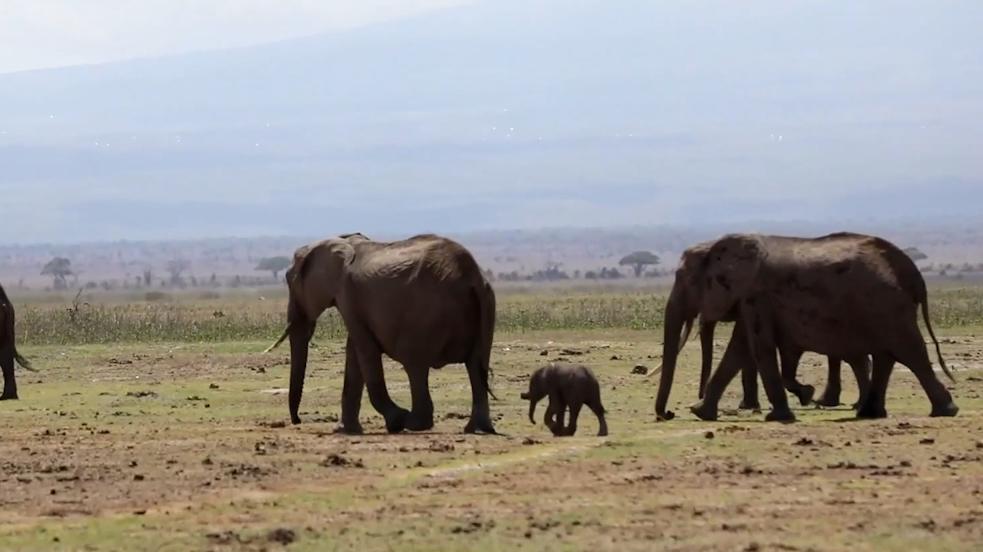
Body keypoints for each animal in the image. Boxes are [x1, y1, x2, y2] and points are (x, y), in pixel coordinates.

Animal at [268, 233, 500, 436]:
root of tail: (472, 277)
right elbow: (354, 353)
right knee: (476, 365)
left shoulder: (347, 294)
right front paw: (345, 430)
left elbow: (365, 351)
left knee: (415, 365)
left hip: (426, 315)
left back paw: (412, 422)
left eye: (289, 280)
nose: (297, 420)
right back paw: (478, 429)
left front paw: (395, 421)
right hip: (488, 304)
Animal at [656, 233, 956, 422]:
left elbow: (759, 349)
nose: (668, 414)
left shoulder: (756, 296)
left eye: (684, 279)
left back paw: (946, 410)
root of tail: (913, 273)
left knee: (910, 352)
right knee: (886, 356)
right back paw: (868, 413)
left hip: (888, 307)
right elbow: (739, 350)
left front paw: (781, 416)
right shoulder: (751, 300)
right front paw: (700, 413)